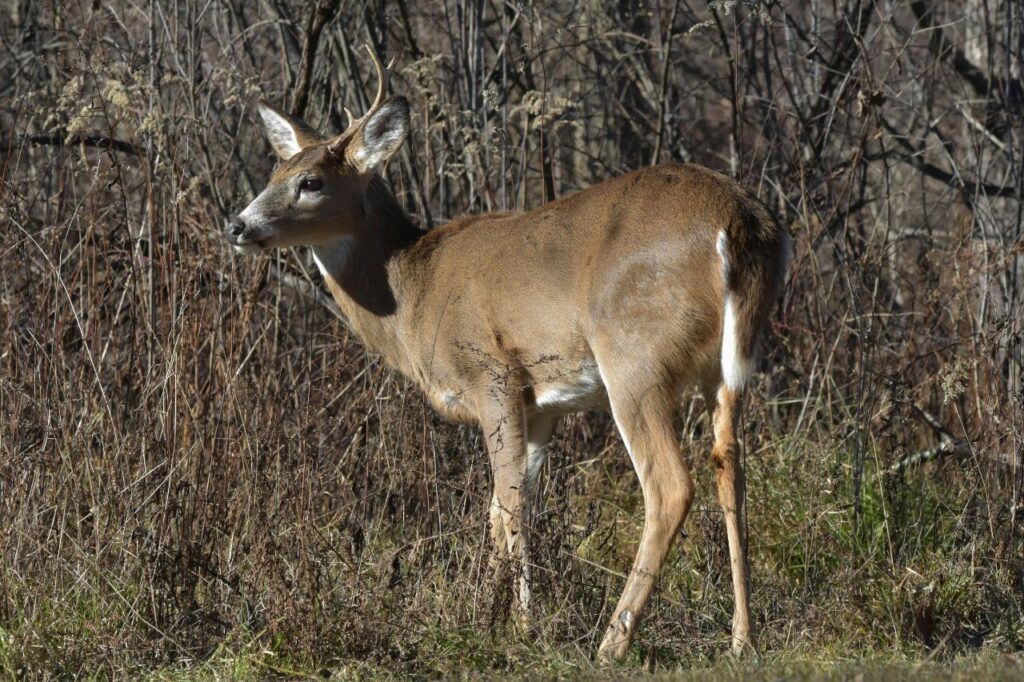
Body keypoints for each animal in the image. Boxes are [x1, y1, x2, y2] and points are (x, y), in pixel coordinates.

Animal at [224, 46, 790, 662]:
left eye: (311, 182)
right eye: (272, 175)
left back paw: (612, 643)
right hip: (729, 366)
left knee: (669, 486)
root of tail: (736, 223)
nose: (238, 224)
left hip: (633, 359)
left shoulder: (490, 373)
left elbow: (509, 501)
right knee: (730, 467)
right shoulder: (540, 404)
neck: (411, 291)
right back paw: (742, 639)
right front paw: (487, 615)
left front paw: (519, 626)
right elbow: (506, 507)